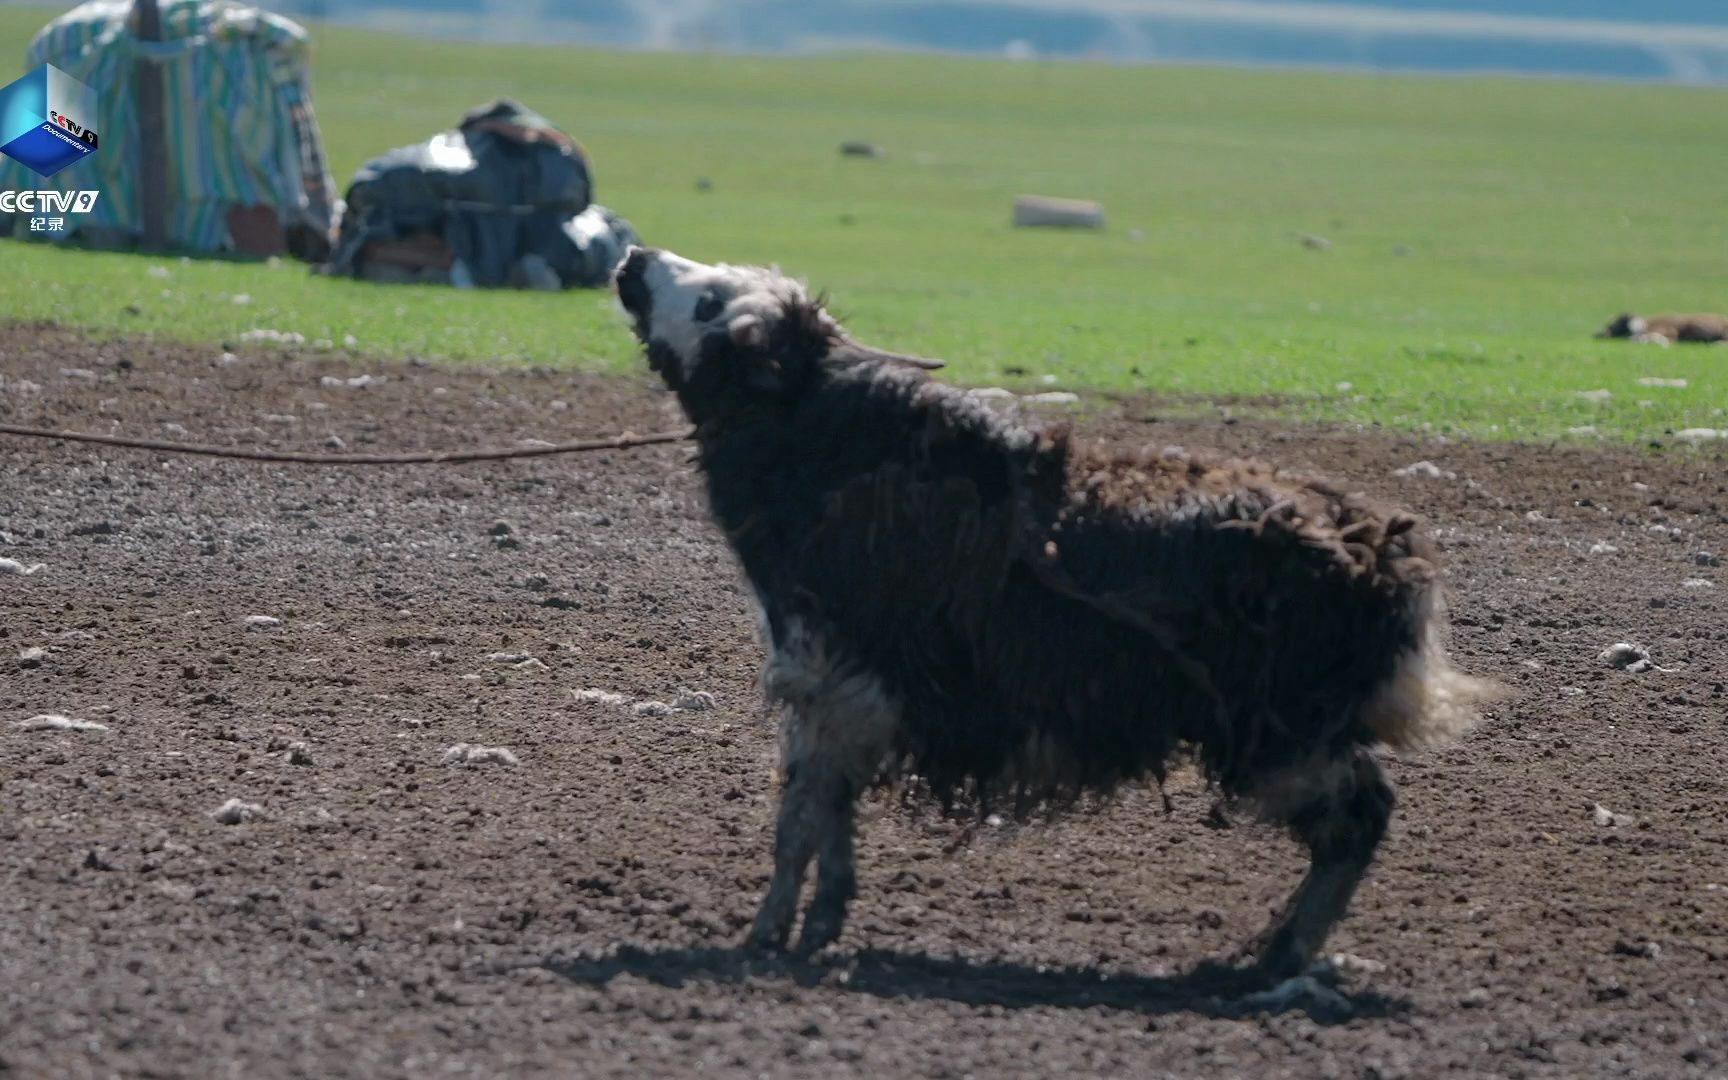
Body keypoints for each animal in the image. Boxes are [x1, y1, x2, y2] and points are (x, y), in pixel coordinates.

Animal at [611, 247, 1499, 988]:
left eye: (712, 304)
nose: (634, 258)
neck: (827, 453)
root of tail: (1383, 549)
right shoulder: (841, 692)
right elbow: (827, 816)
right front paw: (818, 926)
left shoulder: (828, 677)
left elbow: (798, 819)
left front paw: (763, 939)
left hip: (1283, 739)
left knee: (1360, 819)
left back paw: (1272, 961)